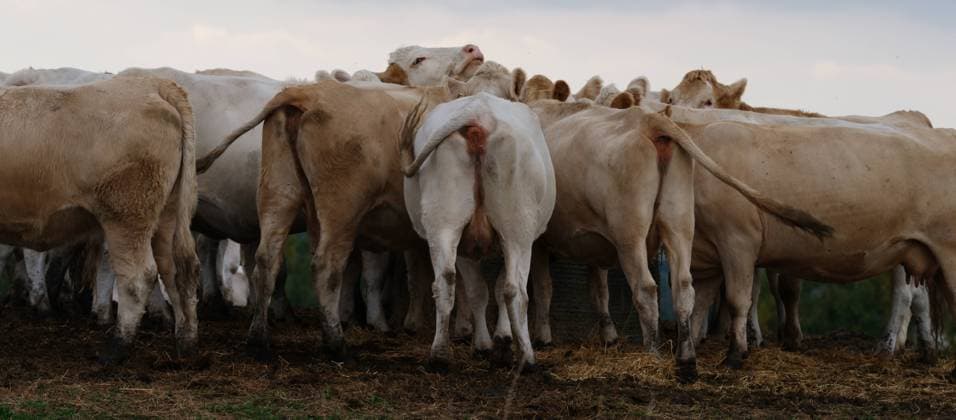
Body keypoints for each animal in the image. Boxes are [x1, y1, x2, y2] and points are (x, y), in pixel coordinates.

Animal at [0, 76, 200, 362]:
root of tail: (152, 83)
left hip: (126, 215)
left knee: (139, 277)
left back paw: (117, 347)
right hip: (166, 217)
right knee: (176, 271)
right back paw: (186, 341)